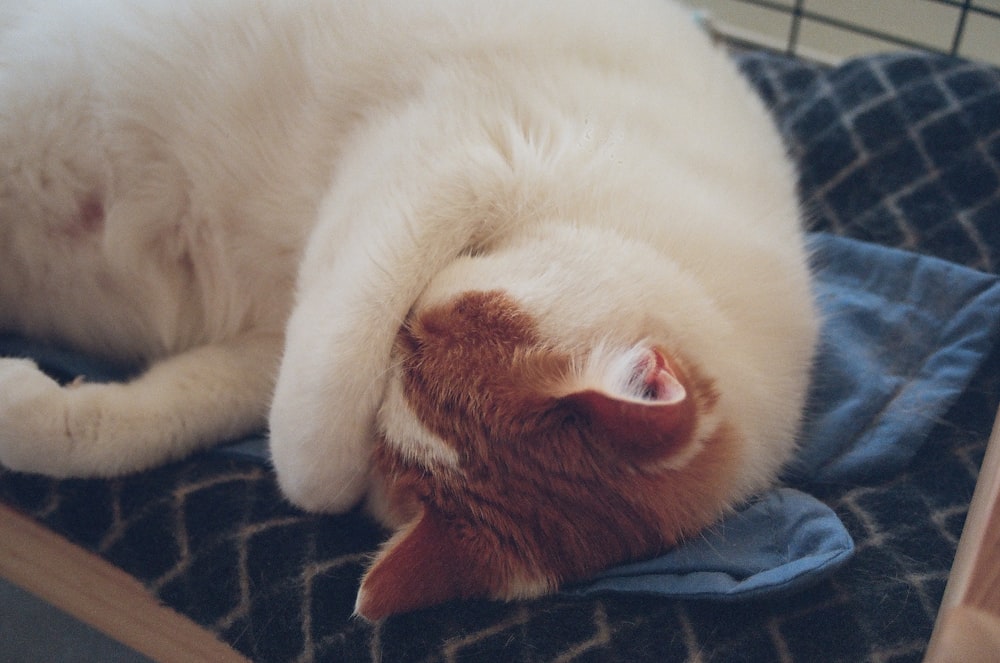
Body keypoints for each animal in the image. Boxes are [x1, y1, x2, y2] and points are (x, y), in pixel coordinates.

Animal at [0, 0, 820, 624]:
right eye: (427, 330)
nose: (401, 328)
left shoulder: (272, 341)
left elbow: (178, 425)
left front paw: (27, 407)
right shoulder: (447, 154)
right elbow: (318, 435)